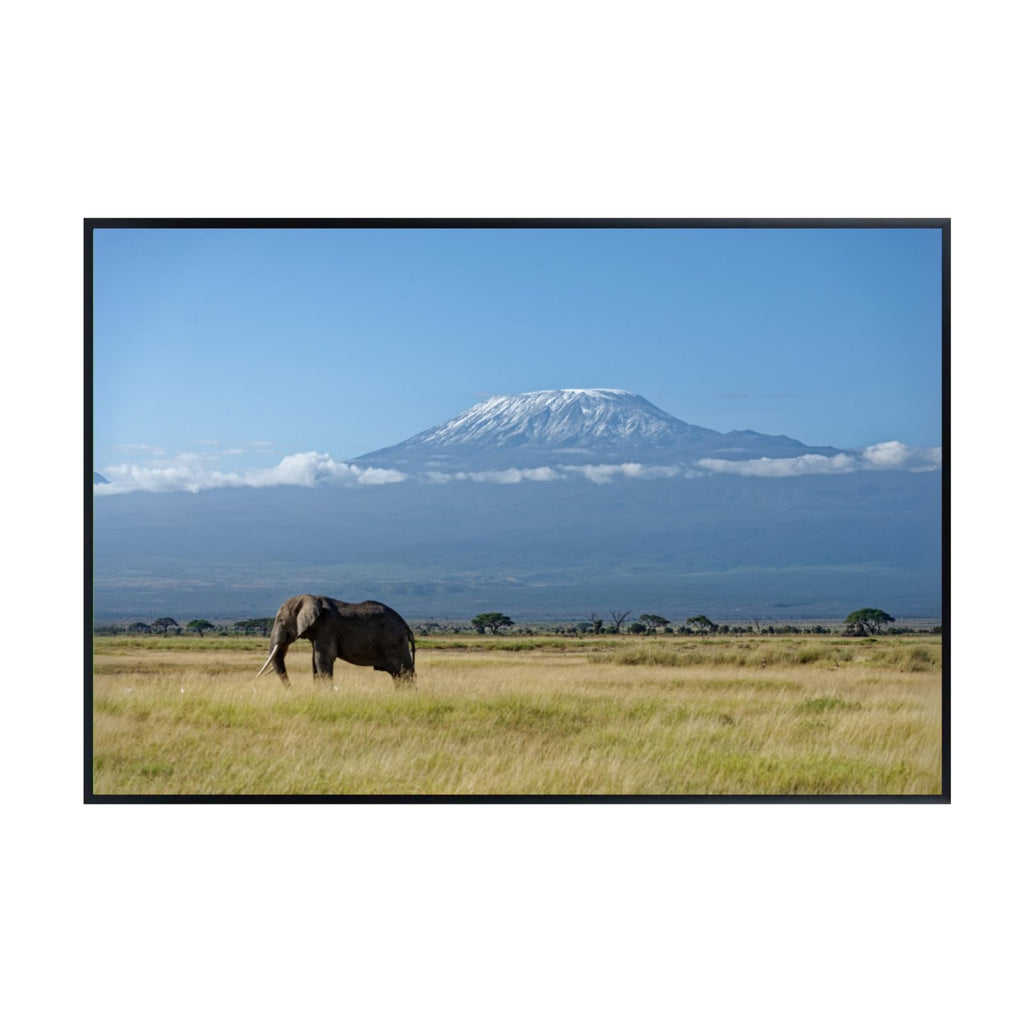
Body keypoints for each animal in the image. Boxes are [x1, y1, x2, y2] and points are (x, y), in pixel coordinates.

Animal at [256, 594, 416, 687]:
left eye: (281, 620)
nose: (292, 689)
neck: (310, 597)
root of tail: (406, 626)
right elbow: (314, 661)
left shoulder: (326, 627)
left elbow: (322, 659)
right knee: (398, 675)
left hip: (394, 641)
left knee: (404, 672)